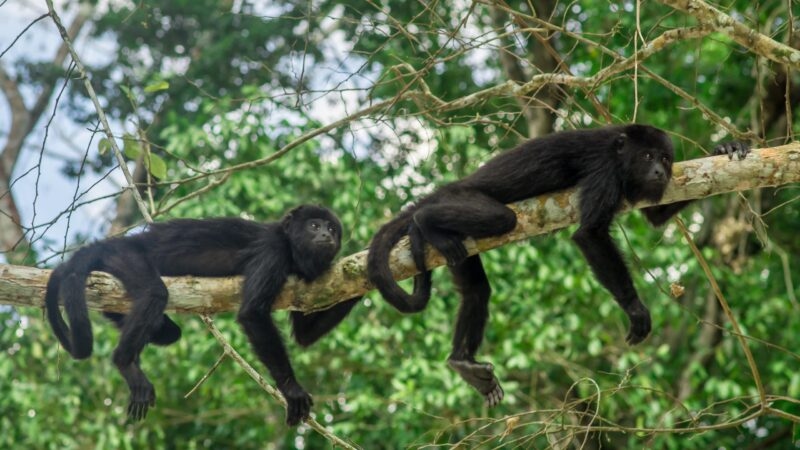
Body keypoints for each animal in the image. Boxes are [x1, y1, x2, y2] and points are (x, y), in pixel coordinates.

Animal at [45, 205, 360, 425]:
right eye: (314, 225)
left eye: (332, 229)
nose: (326, 235)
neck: (294, 250)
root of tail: (117, 242)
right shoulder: (274, 250)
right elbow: (253, 313)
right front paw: (292, 390)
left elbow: (304, 336)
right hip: (125, 257)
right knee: (154, 294)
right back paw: (126, 362)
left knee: (168, 331)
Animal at [367, 124, 749, 407]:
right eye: (647, 156)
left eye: (667, 159)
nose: (659, 170)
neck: (620, 152)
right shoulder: (604, 169)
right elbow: (590, 234)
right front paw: (635, 309)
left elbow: (654, 217)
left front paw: (724, 149)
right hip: (462, 198)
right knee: (500, 218)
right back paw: (423, 221)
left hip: (458, 250)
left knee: (476, 290)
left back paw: (461, 361)